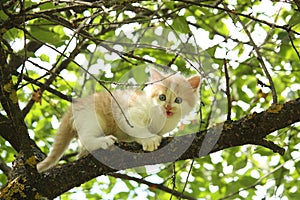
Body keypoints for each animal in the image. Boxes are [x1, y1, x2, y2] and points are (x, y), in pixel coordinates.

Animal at [37, 68, 200, 172]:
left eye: (178, 100)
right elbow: (139, 129)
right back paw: (103, 141)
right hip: (93, 117)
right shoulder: (128, 113)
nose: (168, 107)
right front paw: (149, 140)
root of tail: (72, 108)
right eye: (162, 97)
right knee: (87, 138)